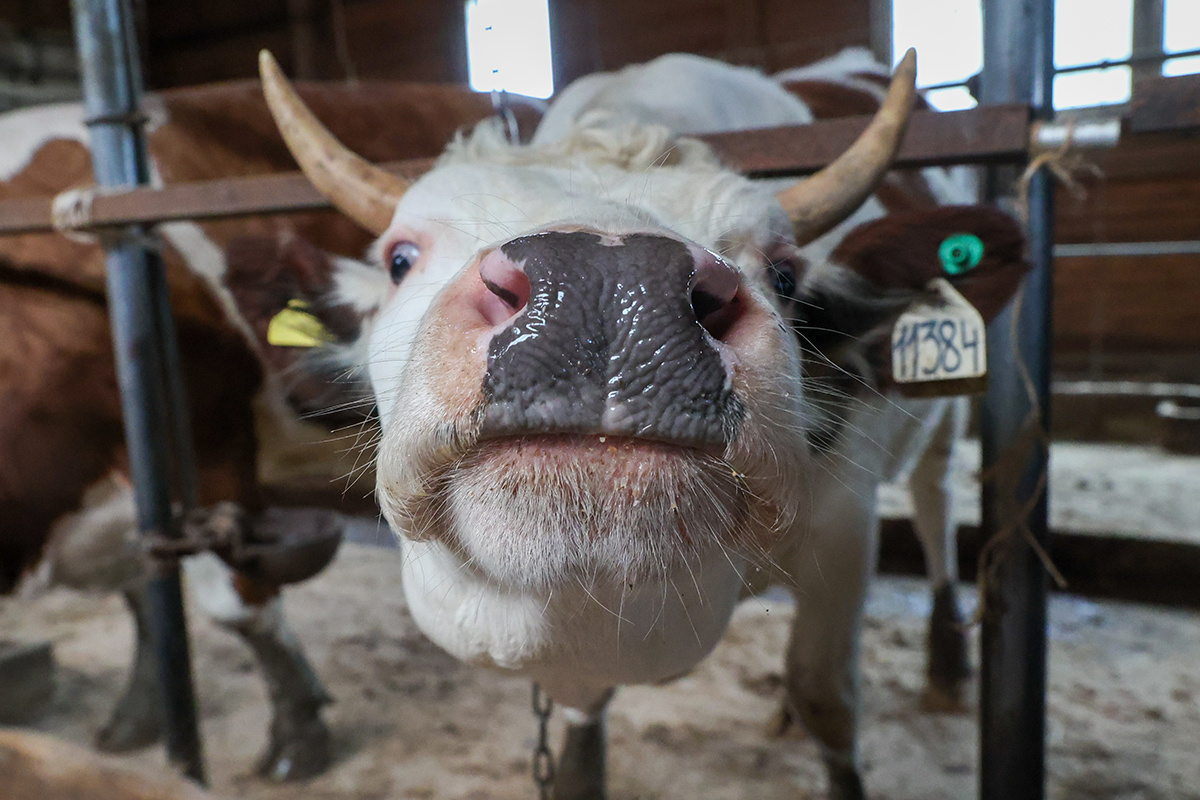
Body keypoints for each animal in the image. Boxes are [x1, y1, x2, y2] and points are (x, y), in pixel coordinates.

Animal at [259, 45, 1028, 800]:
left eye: (784, 274)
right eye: (400, 259)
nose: (609, 283)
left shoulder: (845, 519)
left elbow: (827, 697)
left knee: (935, 504)